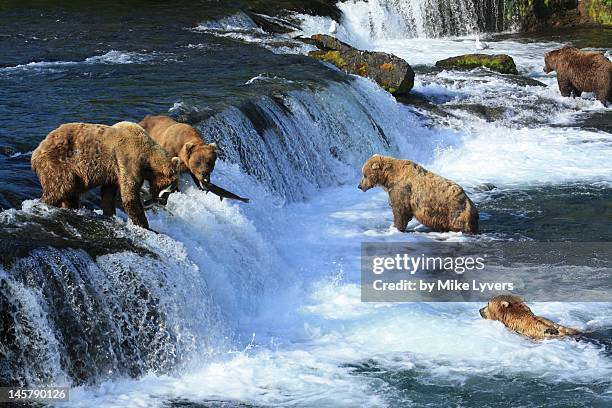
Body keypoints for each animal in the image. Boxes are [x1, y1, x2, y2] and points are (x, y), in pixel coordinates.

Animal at [31, 121, 179, 230]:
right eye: (169, 190)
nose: (164, 202)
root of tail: (36, 151)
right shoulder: (128, 159)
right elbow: (130, 194)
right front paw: (145, 225)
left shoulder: (113, 172)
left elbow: (108, 194)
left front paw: (109, 213)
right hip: (59, 164)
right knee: (60, 187)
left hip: (74, 173)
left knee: (70, 193)